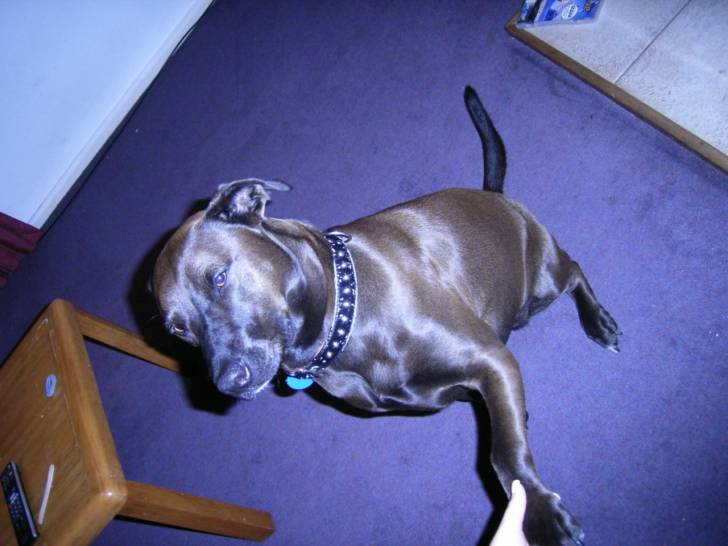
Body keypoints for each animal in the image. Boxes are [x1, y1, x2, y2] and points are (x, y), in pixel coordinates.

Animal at [152, 87, 620, 545]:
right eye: (178, 330)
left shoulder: (492, 360)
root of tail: (495, 195)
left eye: (218, 277)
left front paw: (537, 515)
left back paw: (598, 322)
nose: (229, 381)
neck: (347, 322)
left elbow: (502, 450)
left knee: (574, 271)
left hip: (541, 282)